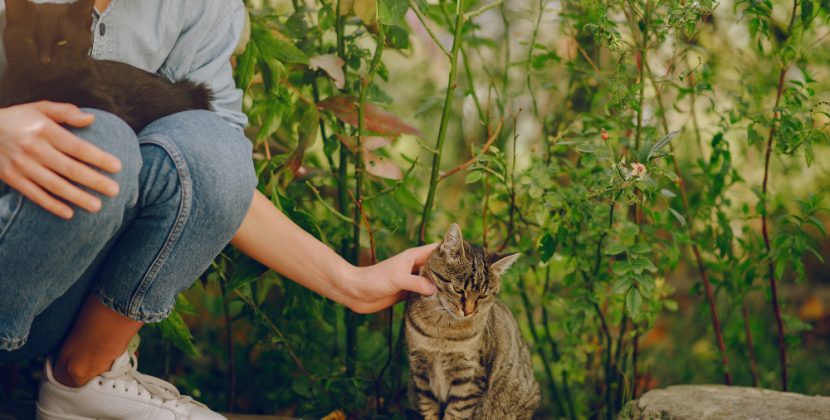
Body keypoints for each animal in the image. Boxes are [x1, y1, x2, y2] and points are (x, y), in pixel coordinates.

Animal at [406, 225, 544, 418]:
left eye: (483, 296)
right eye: (458, 289)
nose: (469, 312)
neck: (441, 332)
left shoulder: (469, 378)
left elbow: (455, 414)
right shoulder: (420, 371)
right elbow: (429, 410)